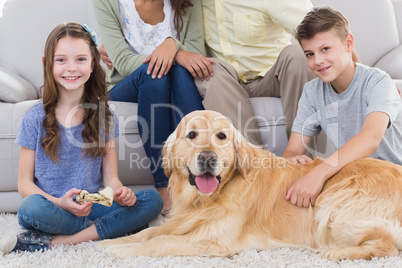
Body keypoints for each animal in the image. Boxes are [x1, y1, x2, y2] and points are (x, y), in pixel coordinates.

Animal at [99, 110, 402, 260]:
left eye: (221, 136)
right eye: (192, 135)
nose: (207, 157)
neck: (209, 199)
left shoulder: (213, 240)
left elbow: (161, 242)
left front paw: (121, 251)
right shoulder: (181, 221)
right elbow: (148, 233)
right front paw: (112, 242)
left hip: (332, 208)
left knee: (388, 246)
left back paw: (337, 253)